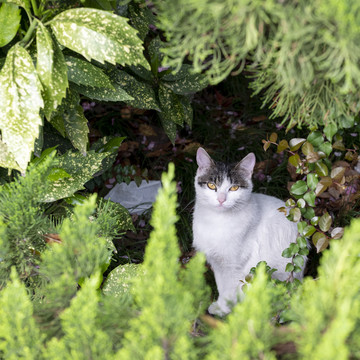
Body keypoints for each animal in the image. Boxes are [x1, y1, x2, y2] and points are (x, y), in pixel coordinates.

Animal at [193, 146, 306, 316]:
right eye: (212, 186)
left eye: (234, 188)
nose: (221, 199)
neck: (218, 221)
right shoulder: (218, 263)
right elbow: (221, 286)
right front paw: (219, 306)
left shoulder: (235, 266)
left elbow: (229, 290)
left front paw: (224, 309)